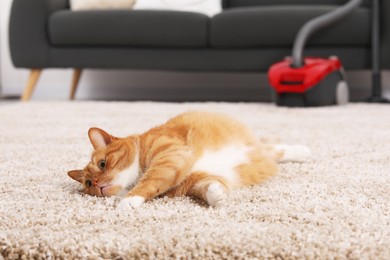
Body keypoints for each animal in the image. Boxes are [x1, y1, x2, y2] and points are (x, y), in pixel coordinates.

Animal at [68, 110, 310, 210]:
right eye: (88, 184)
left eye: (102, 164)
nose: (96, 184)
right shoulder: (196, 181)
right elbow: (208, 187)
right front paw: (217, 196)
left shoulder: (170, 156)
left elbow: (149, 181)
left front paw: (128, 200)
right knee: (273, 152)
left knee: (276, 149)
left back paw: (303, 151)